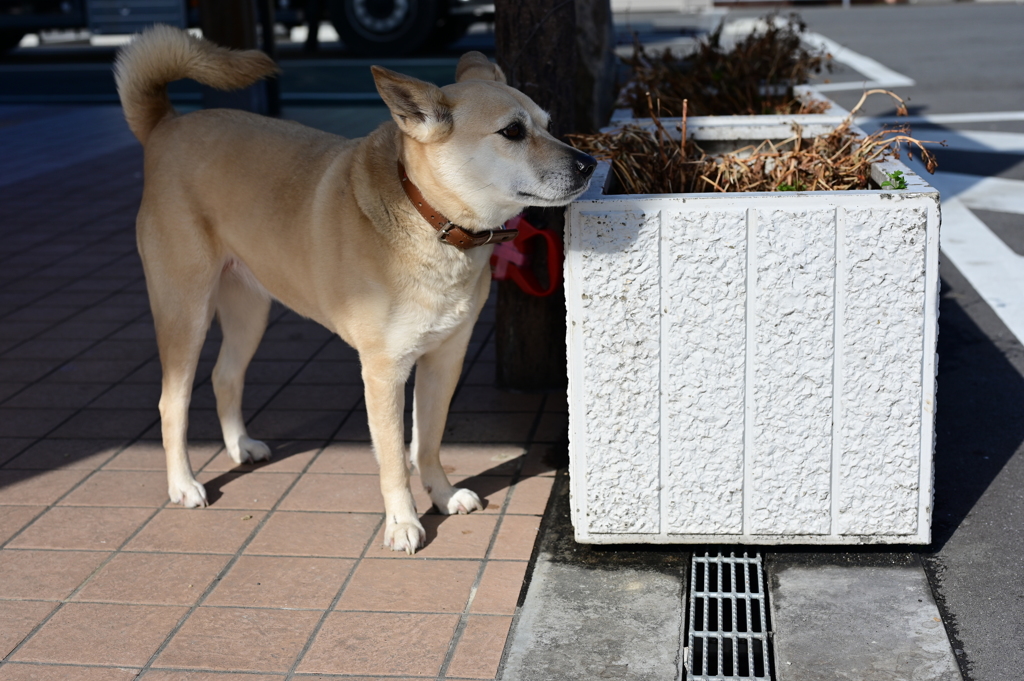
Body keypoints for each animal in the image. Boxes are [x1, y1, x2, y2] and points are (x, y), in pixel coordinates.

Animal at [113, 26, 598, 552]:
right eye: (512, 132)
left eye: (548, 125)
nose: (590, 163)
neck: (429, 217)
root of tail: (166, 127)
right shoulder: (383, 372)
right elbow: (394, 460)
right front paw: (403, 521)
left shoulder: (444, 359)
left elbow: (429, 442)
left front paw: (442, 494)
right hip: (186, 312)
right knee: (173, 402)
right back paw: (183, 483)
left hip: (249, 309)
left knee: (225, 376)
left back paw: (240, 445)